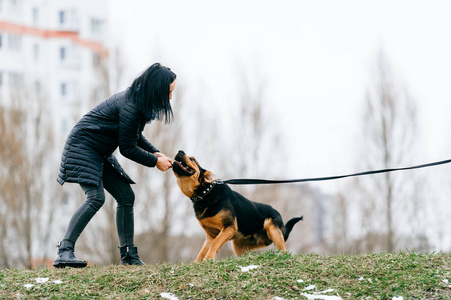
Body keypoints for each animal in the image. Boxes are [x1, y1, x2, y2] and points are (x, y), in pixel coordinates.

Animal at [173, 150, 304, 262]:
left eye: (192, 159)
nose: (180, 151)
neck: (205, 194)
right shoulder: (211, 235)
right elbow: (203, 250)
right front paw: (197, 262)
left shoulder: (229, 227)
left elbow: (215, 243)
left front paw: (208, 259)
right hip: (239, 246)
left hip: (271, 227)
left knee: (284, 250)